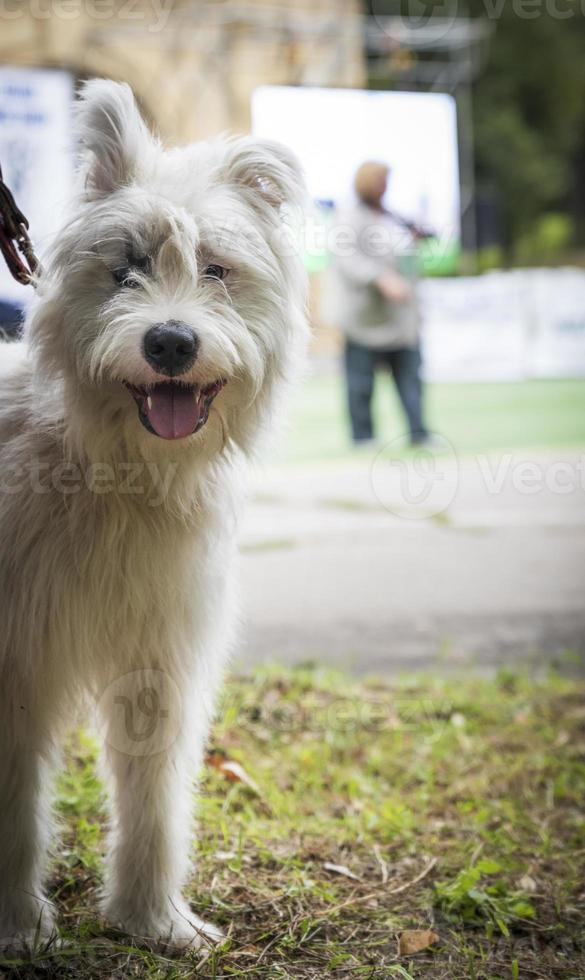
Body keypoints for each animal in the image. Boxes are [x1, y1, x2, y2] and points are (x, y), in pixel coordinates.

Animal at [0, 80, 308, 952]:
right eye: (126, 269)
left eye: (216, 270)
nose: (171, 342)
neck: (112, 474)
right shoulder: (15, 666)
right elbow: (15, 812)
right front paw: (18, 927)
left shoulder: (160, 661)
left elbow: (154, 799)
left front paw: (153, 920)